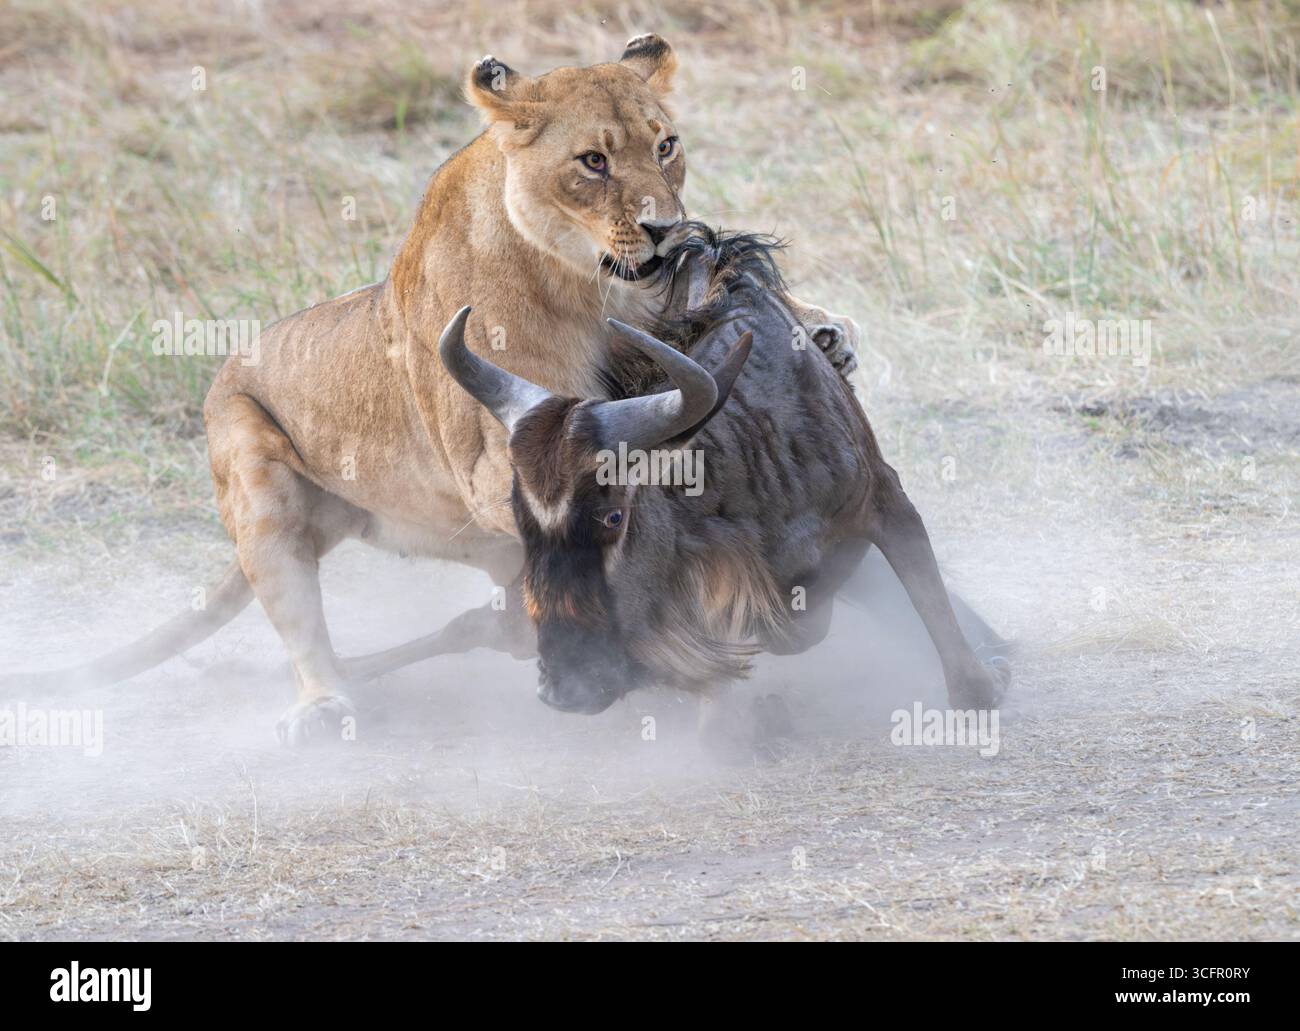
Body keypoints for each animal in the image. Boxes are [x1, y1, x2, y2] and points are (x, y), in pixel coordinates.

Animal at [10, 35, 860, 744]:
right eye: (593, 161)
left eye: (666, 145)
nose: (666, 228)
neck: (587, 285)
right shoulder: (499, 460)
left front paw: (825, 331)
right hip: (253, 472)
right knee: (306, 622)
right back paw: (327, 704)